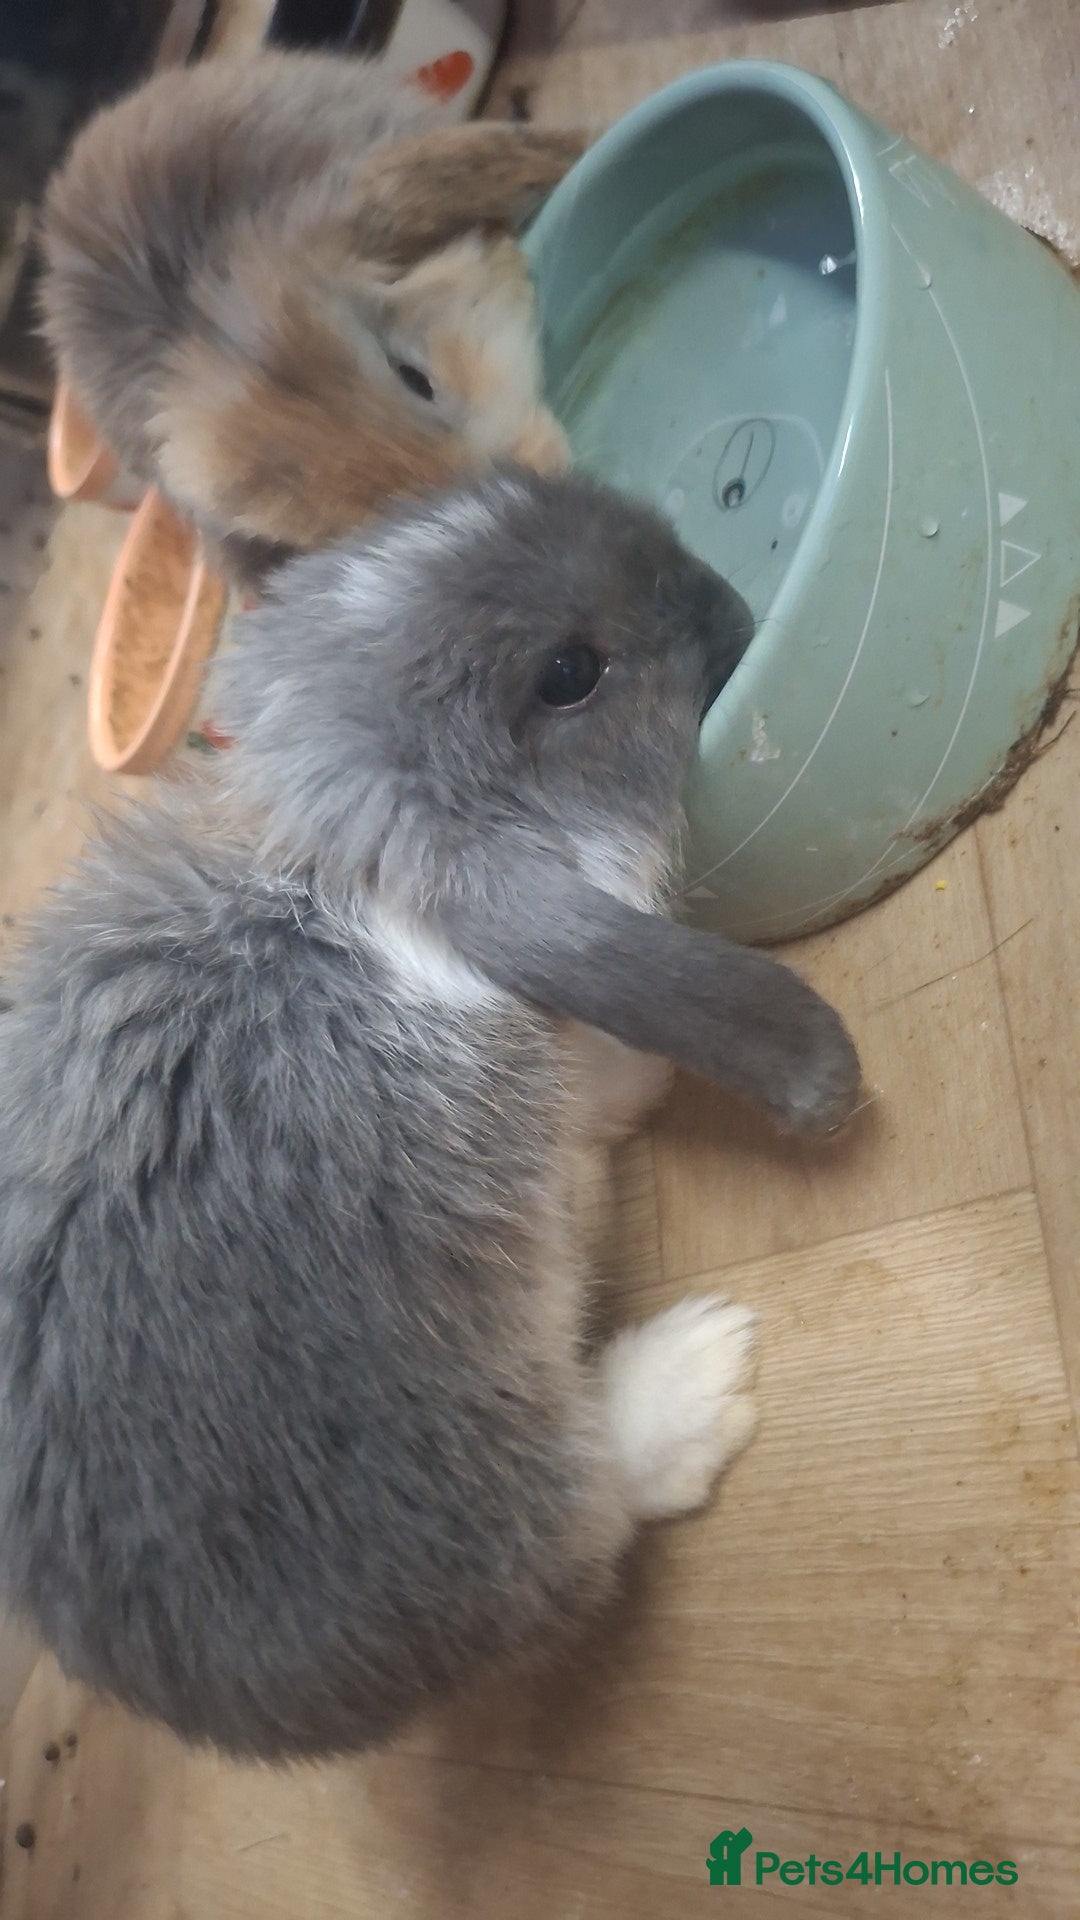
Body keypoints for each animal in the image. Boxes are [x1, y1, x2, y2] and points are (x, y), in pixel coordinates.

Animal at [0, 469, 861, 1760]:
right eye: (569, 674)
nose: (726, 602)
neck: (338, 903)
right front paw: (645, 1082)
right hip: (498, 1476)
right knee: (591, 1514)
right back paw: (700, 1376)